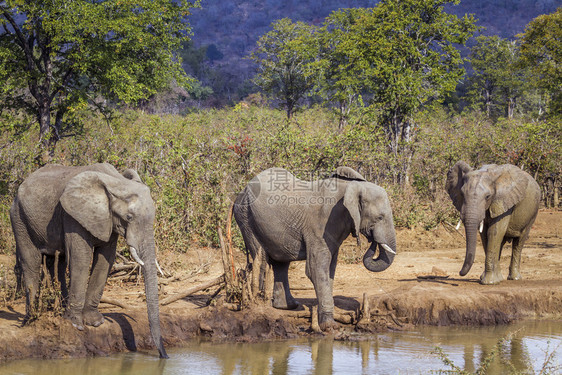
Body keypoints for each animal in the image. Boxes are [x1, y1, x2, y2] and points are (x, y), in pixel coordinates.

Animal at [9, 163, 167, 360]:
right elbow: (81, 258)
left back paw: (59, 311)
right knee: (31, 261)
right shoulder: (72, 215)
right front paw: (76, 325)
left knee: (57, 261)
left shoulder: (107, 220)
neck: (116, 182)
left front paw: (95, 322)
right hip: (19, 217)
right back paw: (31, 318)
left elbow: (106, 259)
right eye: (129, 217)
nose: (163, 356)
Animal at [234, 168, 396, 332]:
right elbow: (316, 269)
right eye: (380, 217)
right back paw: (262, 302)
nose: (372, 239)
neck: (353, 187)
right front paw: (329, 326)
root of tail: (242, 190)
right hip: (246, 217)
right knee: (261, 259)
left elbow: (330, 270)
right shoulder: (321, 226)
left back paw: (287, 306)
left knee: (281, 262)